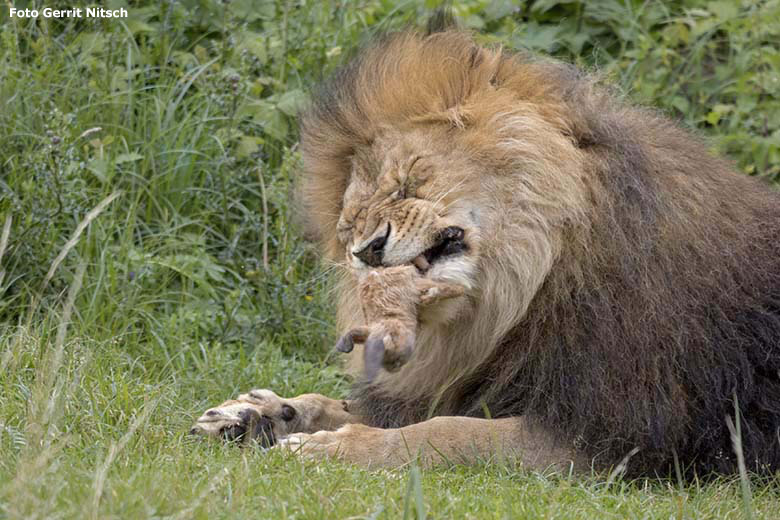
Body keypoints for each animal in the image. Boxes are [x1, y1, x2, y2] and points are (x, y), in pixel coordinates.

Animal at [192, 19, 780, 476]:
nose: (366, 251)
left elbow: (449, 432)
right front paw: (258, 414)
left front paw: (331, 449)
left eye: (407, 182)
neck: (525, 288)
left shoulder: (611, 436)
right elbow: (356, 404)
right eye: (349, 224)